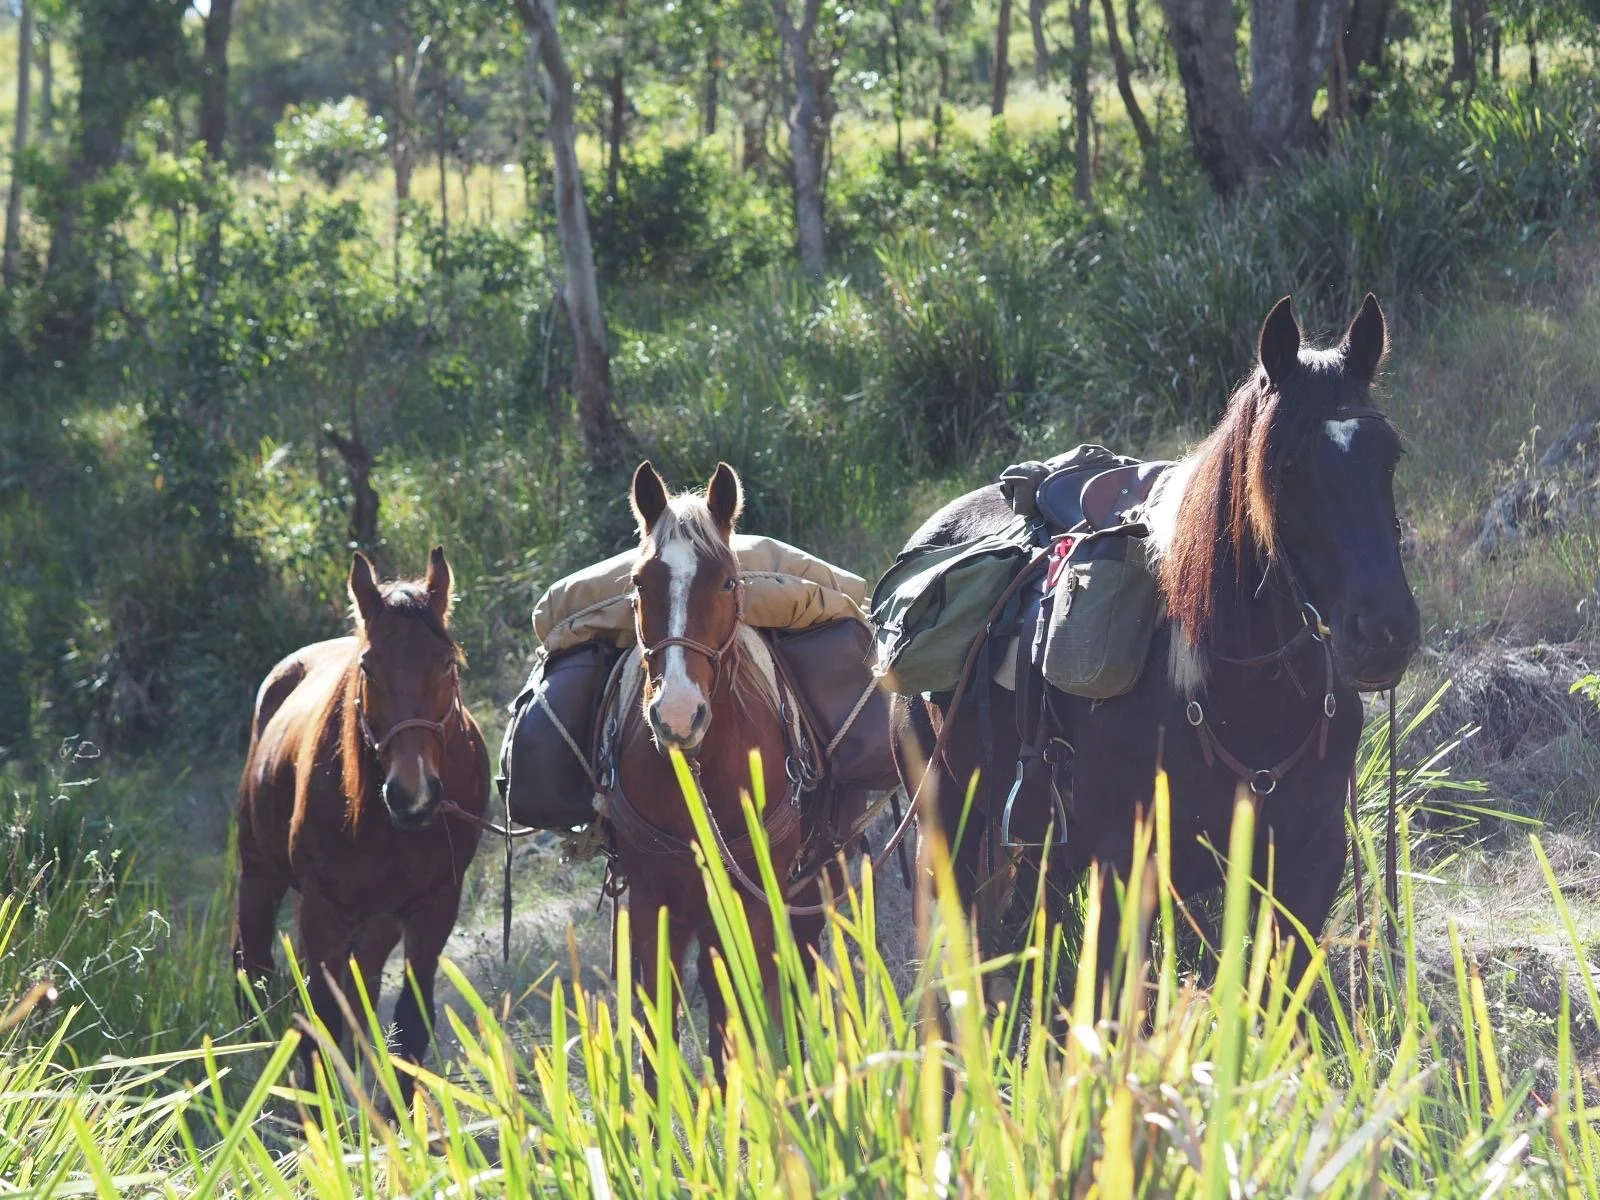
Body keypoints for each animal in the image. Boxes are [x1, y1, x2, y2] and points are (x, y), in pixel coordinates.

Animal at [232, 547, 489, 1096]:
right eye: (369, 666)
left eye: (446, 663)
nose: (413, 794)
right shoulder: (322, 909)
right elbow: (322, 1026)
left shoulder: (434, 907)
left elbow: (407, 1027)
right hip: (259, 876)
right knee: (254, 972)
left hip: (377, 923)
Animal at [601, 461, 828, 1081]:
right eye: (639, 583)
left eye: (727, 581)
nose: (678, 714)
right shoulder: (653, 902)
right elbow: (659, 1025)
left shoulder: (749, 901)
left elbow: (739, 1015)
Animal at [891, 294, 1421, 1001]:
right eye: (1285, 467)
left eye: (1388, 457)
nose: (1385, 633)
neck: (1239, 700)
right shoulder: (1124, 875)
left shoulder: (1307, 868)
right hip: (946, 827)